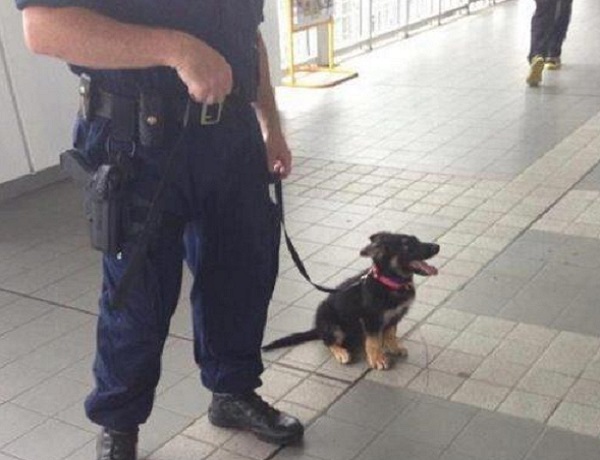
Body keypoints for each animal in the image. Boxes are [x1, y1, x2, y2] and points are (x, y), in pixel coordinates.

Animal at [260, 234, 438, 370]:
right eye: (406, 245)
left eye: (417, 240)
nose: (437, 247)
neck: (390, 283)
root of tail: (318, 328)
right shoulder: (370, 320)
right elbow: (373, 342)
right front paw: (377, 359)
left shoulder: (395, 316)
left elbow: (390, 334)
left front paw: (394, 347)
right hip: (332, 325)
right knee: (328, 342)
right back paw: (341, 352)